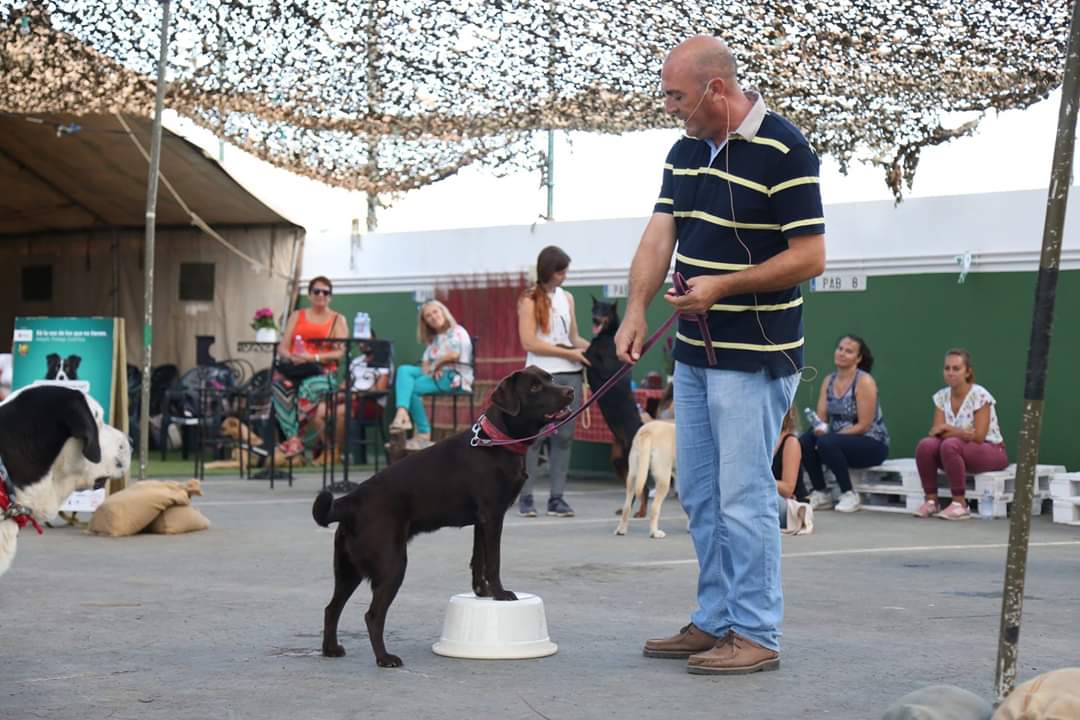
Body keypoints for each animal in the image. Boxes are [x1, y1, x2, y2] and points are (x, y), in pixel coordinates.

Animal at [313, 369, 574, 669]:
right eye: (533, 387)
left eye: (550, 378)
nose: (570, 391)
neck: (497, 441)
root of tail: (350, 501)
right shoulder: (492, 515)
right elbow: (493, 562)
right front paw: (500, 594)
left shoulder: (481, 521)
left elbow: (478, 560)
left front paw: (482, 591)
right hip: (392, 564)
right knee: (372, 615)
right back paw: (385, 658)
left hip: (348, 570)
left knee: (331, 608)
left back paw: (331, 649)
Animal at [583, 297, 639, 500]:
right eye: (594, 309)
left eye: (605, 310)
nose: (594, 318)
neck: (607, 335)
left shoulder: (606, 369)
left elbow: (587, 354)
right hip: (619, 461)